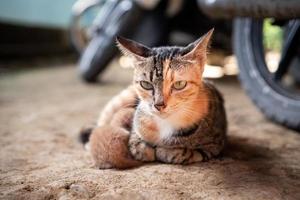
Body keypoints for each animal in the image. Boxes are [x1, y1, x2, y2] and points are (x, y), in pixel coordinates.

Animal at [80, 28, 227, 169]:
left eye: (179, 84)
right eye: (146, 84)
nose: (159, 104)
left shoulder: (214, 145)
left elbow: (185, 153)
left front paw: (166, 151)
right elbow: (136, 142)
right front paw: (144, 148)